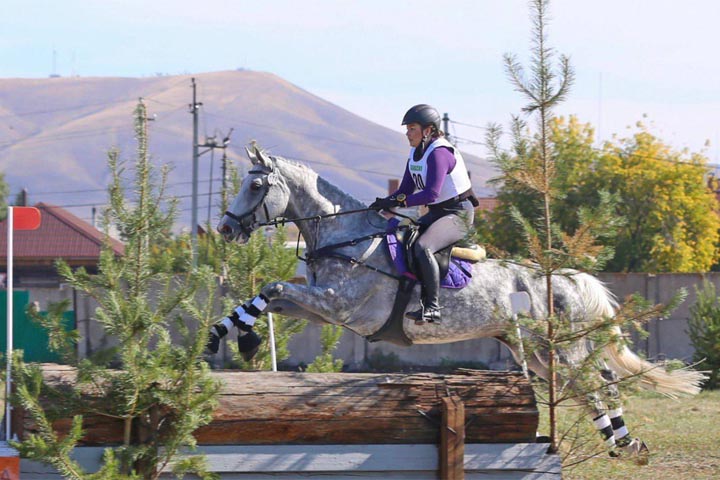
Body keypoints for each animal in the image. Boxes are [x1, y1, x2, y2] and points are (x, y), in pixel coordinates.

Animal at [212, 147, 704, 462]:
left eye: (256, 185)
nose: (225, 229)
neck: (348, 237)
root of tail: (566, 278)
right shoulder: (318, 306)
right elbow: (269, 297)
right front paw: (232, 335)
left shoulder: (337, 305)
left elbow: (273, 288)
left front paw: (236, 339)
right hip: (538, 352)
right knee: (588, 386)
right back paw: (619, 442)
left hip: (561, 347)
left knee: (599, 382)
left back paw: (623, 442)